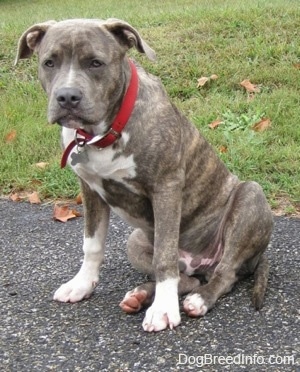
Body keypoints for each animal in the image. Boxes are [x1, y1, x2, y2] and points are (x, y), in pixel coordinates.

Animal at [15, 18, 274, 332]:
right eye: (49, 62)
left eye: (96, 63)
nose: (67, 96)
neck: (104, 132)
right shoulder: (90, 190)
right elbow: (92, 244)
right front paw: (82, 284)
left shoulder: (166, 187)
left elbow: (164, 256)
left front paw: (162, 310)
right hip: (135, 241)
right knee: (187, 278)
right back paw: (140, 295)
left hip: (251, 197)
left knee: (223, 274)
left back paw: (198, 299)